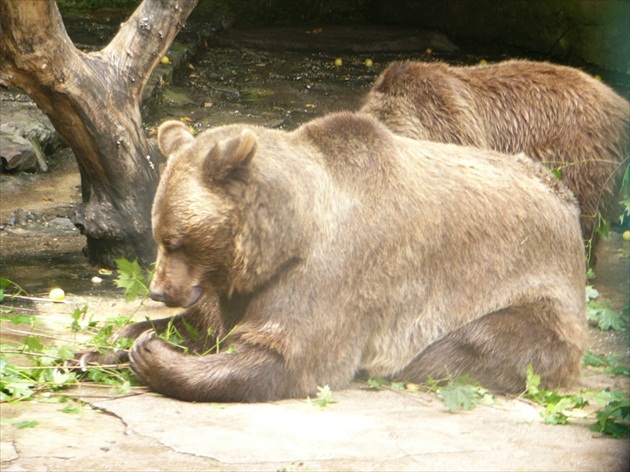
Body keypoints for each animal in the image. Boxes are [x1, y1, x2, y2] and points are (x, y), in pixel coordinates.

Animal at [99, 112, 588, 404]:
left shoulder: (333, 274)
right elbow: (209, 325)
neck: (288, 239)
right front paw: (127, 336)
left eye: (176, 240)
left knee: (475, 342)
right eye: (159, 235)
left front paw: (152, 355)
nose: (159, 290)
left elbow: (283, 356)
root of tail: (566, 202)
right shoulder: (239, 285)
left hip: (525, 290)